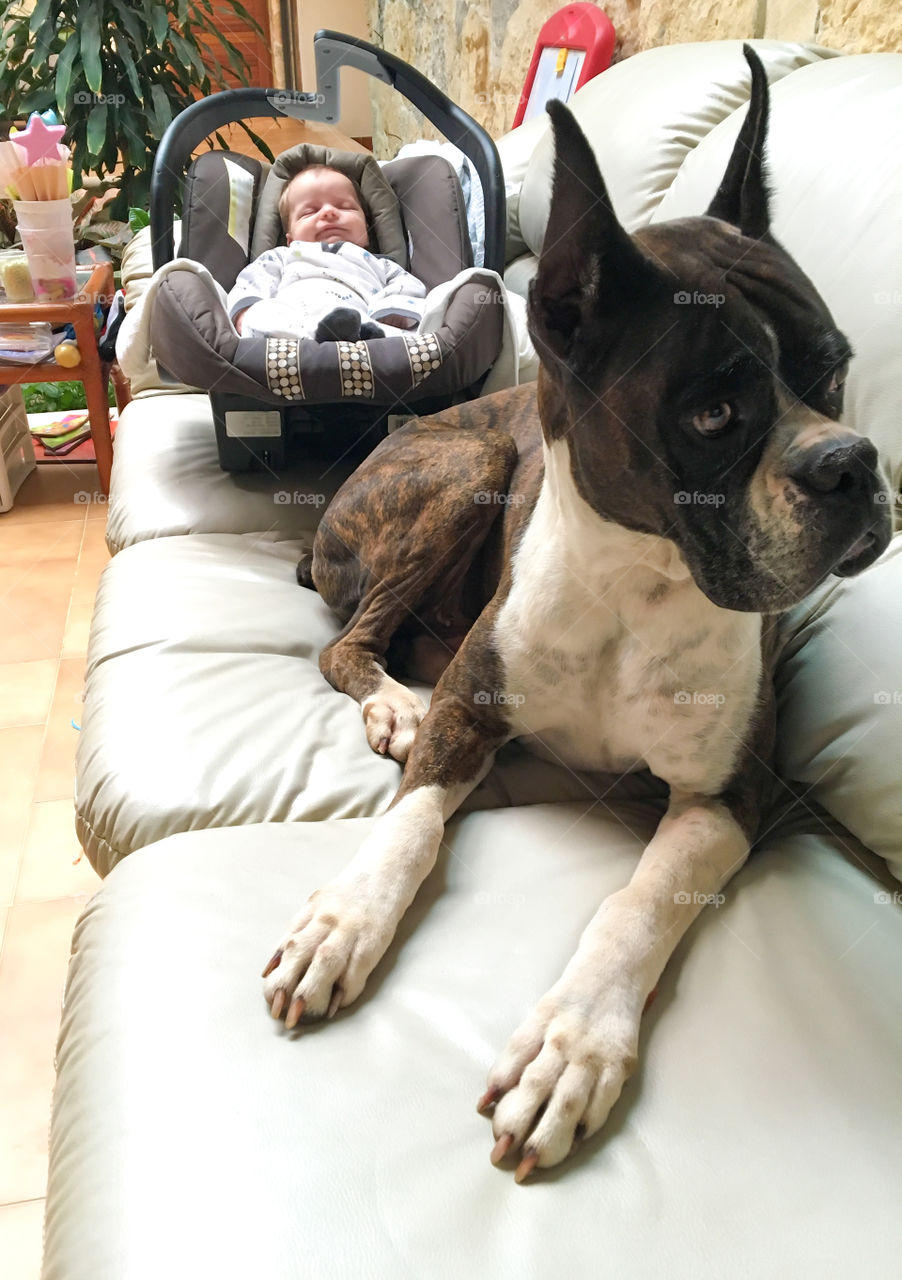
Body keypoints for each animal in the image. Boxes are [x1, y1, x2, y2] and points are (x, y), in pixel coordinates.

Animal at [261, 55, 885, 1182]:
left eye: (832, 366)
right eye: (711, 413)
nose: (850, 463)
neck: (635, 584)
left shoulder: (728, 797)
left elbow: (635, 902)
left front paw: (572, 1043)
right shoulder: (468, 716)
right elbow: (407, 829)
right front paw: (343, 920)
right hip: (466, 467)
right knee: (347, 643)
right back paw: (390, 702)